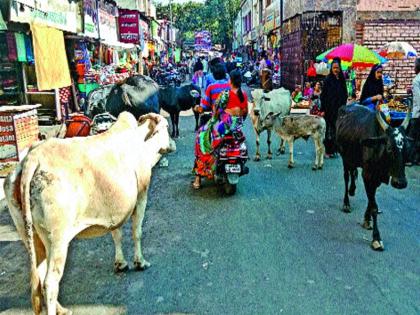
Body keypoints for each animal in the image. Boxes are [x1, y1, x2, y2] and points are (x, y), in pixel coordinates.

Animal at [3, 113, 175, 315]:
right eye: (165, 127)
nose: (172, 143)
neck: (141, 142)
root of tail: (32, 158)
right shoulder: (141, 196)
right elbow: (137, 232)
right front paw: (140, 262)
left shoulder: (115, 211)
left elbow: (116, 234)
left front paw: (121, 264)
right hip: (57, 240)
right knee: (50, 282)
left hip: (30, 235)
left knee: (40, 276)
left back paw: (62, 309)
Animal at [336, 105, 412, 252]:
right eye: (389, 147)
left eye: (406, 148)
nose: (400, 183)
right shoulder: (368, 176)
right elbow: (374, 207)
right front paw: (376, 238)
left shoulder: (376, 179)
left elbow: (371, 201)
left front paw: (367, 220)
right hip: (345, 157)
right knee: (346, 177)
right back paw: (346, 203)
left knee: (353, 172)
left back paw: (353, 190)